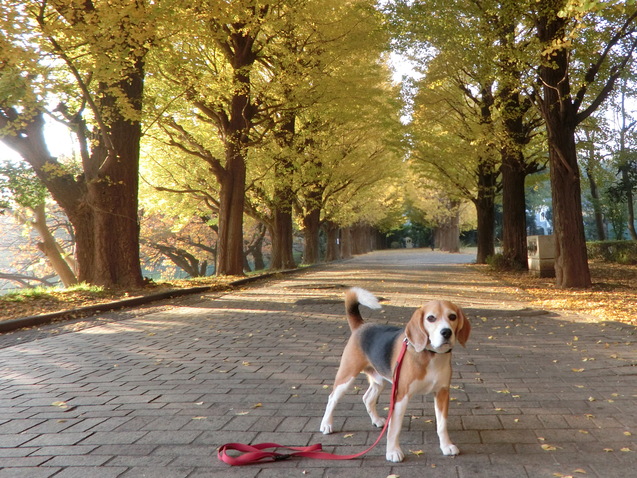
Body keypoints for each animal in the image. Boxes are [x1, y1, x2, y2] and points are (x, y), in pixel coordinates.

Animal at [320, 288, 470, 464]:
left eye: (452, 316)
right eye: (431, 318)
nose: (446, 332)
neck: (431, 355)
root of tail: (362, 326)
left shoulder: (442, 393)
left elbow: (442, 424)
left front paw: (446, 446)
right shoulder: (401, 395)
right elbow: (394, 428)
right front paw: (393, 451)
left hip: (379, 380)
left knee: (367, 398)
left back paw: (376, 420)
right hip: (347, 376)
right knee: (332, 398)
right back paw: (326, 424)